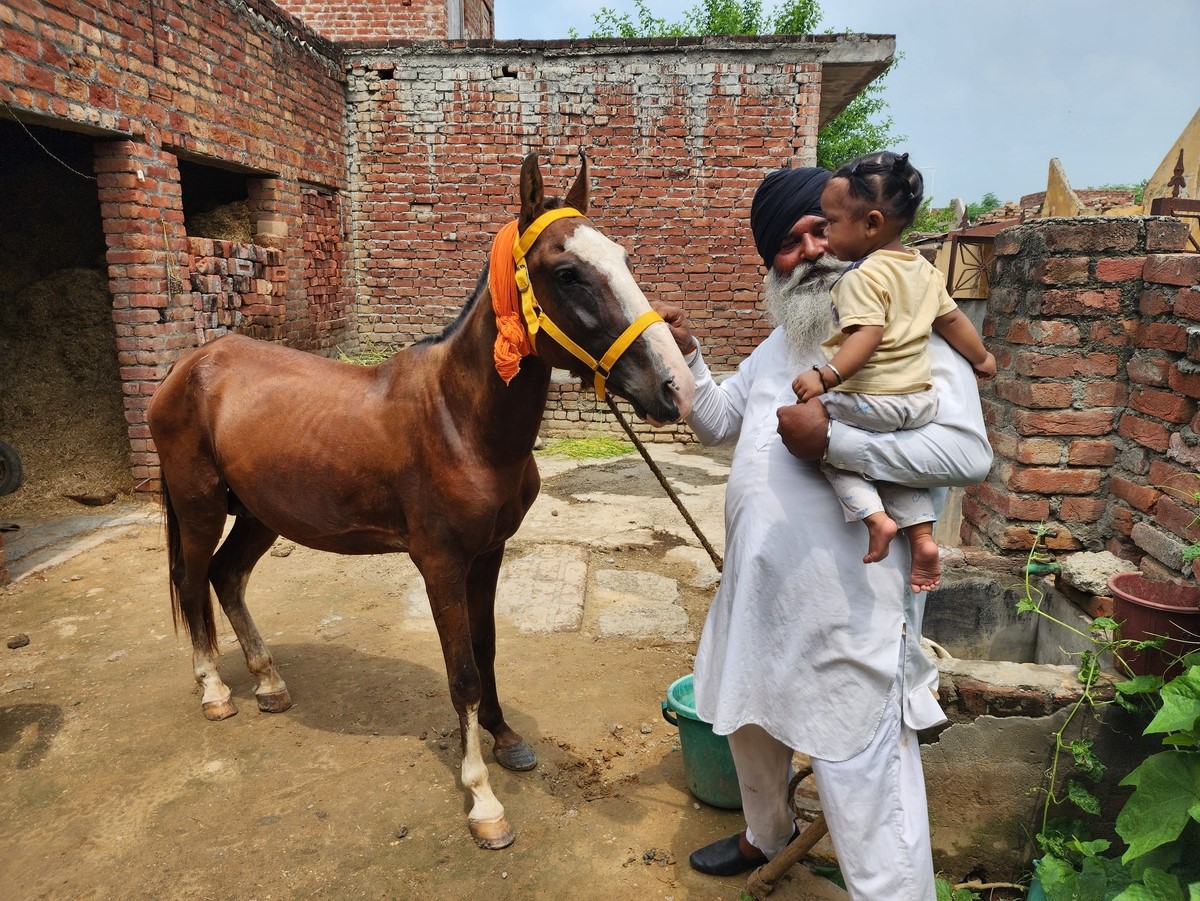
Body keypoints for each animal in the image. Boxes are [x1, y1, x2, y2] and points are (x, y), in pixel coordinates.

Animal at [145, 151, 696, 850]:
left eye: (623, 258)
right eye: (567, 272)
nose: (674, 387)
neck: (460, 421)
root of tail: (190, 366)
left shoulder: (489, 555)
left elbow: (486, 649)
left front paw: (505, 738)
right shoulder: (440, 564)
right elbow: (461, 672)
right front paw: (482, 799)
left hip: (261, 515)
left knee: (227, 576)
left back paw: (269, 682)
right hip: (200, 508)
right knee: (193, 582)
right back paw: (215, 690)